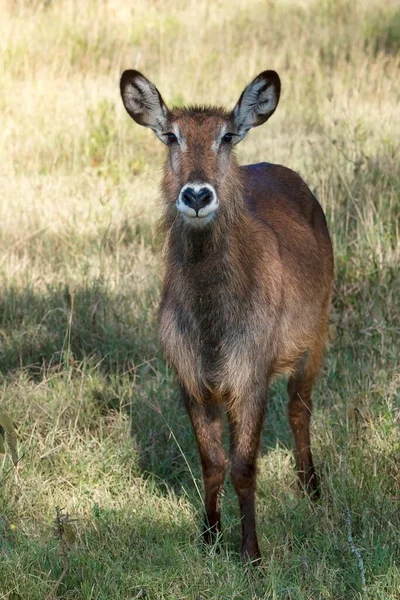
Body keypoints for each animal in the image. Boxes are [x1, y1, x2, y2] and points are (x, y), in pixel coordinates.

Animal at [120, 69, 332, 564]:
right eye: (171, 136)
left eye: (227, 136)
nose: (197, 194)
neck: (212, 321)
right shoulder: (192, 381)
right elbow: (213, 463)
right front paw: (210, 537)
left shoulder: (250, 377)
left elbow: (244, 467)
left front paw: (251, 553)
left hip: (315, 337)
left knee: (299, 408)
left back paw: (311, 489)